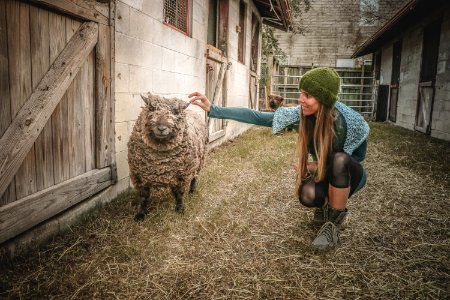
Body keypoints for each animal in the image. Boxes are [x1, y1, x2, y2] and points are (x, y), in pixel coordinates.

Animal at [127, 92, 208, 221]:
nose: (161, 128)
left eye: (175, 112)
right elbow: (143, 197)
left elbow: (179, 194)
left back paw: (192, 191)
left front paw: (180, 209)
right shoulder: (138, 175)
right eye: (151, 108)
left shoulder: (182, 176)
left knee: (195, 177)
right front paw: (140, 214)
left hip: (200, 161)